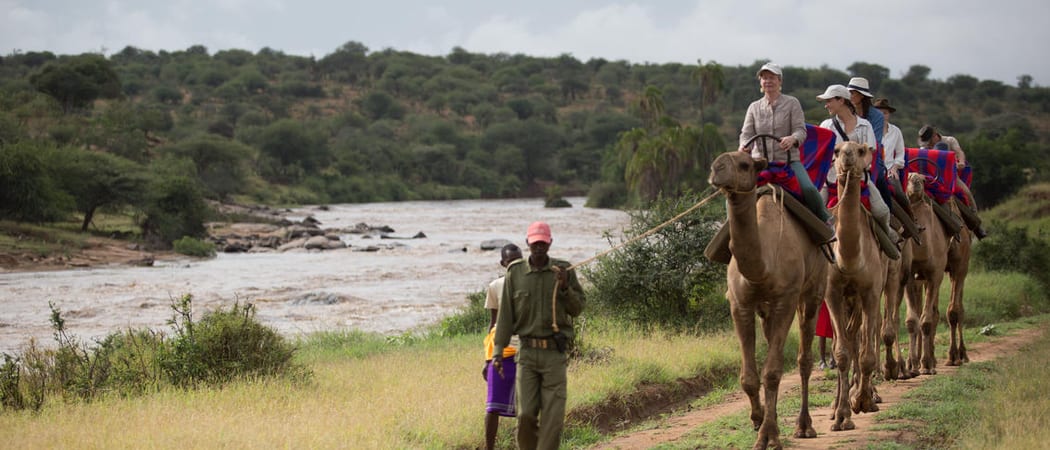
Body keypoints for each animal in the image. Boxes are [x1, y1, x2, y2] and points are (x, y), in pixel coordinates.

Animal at [708, 150, 827, 450]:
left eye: (744, 164)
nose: (716, 169)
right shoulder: (740, 304)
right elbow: (749, 377)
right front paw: (758, 420)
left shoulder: (786, 300)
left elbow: (772, 372)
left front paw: (769, 436)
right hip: (766, 310)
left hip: (813, 291)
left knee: (804, 359)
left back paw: (804, 426)